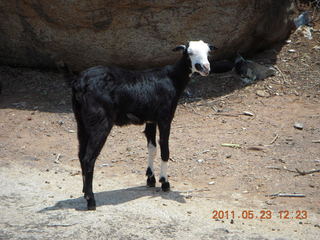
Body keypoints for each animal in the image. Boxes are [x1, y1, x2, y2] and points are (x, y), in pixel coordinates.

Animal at [69, 40, 216, 209]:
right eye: (189, 53)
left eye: (208, 52)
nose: (206, 68)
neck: (173, 79)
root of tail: (79, 84)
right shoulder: (165, 117)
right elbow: (164, 149)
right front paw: (165, 182)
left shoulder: (151, 119)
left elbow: (152, 147)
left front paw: (151, 179)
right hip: (100, 121)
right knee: (89, 158)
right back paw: (91, 200)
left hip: (81, 120)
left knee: (81, 155)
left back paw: (84, 192)